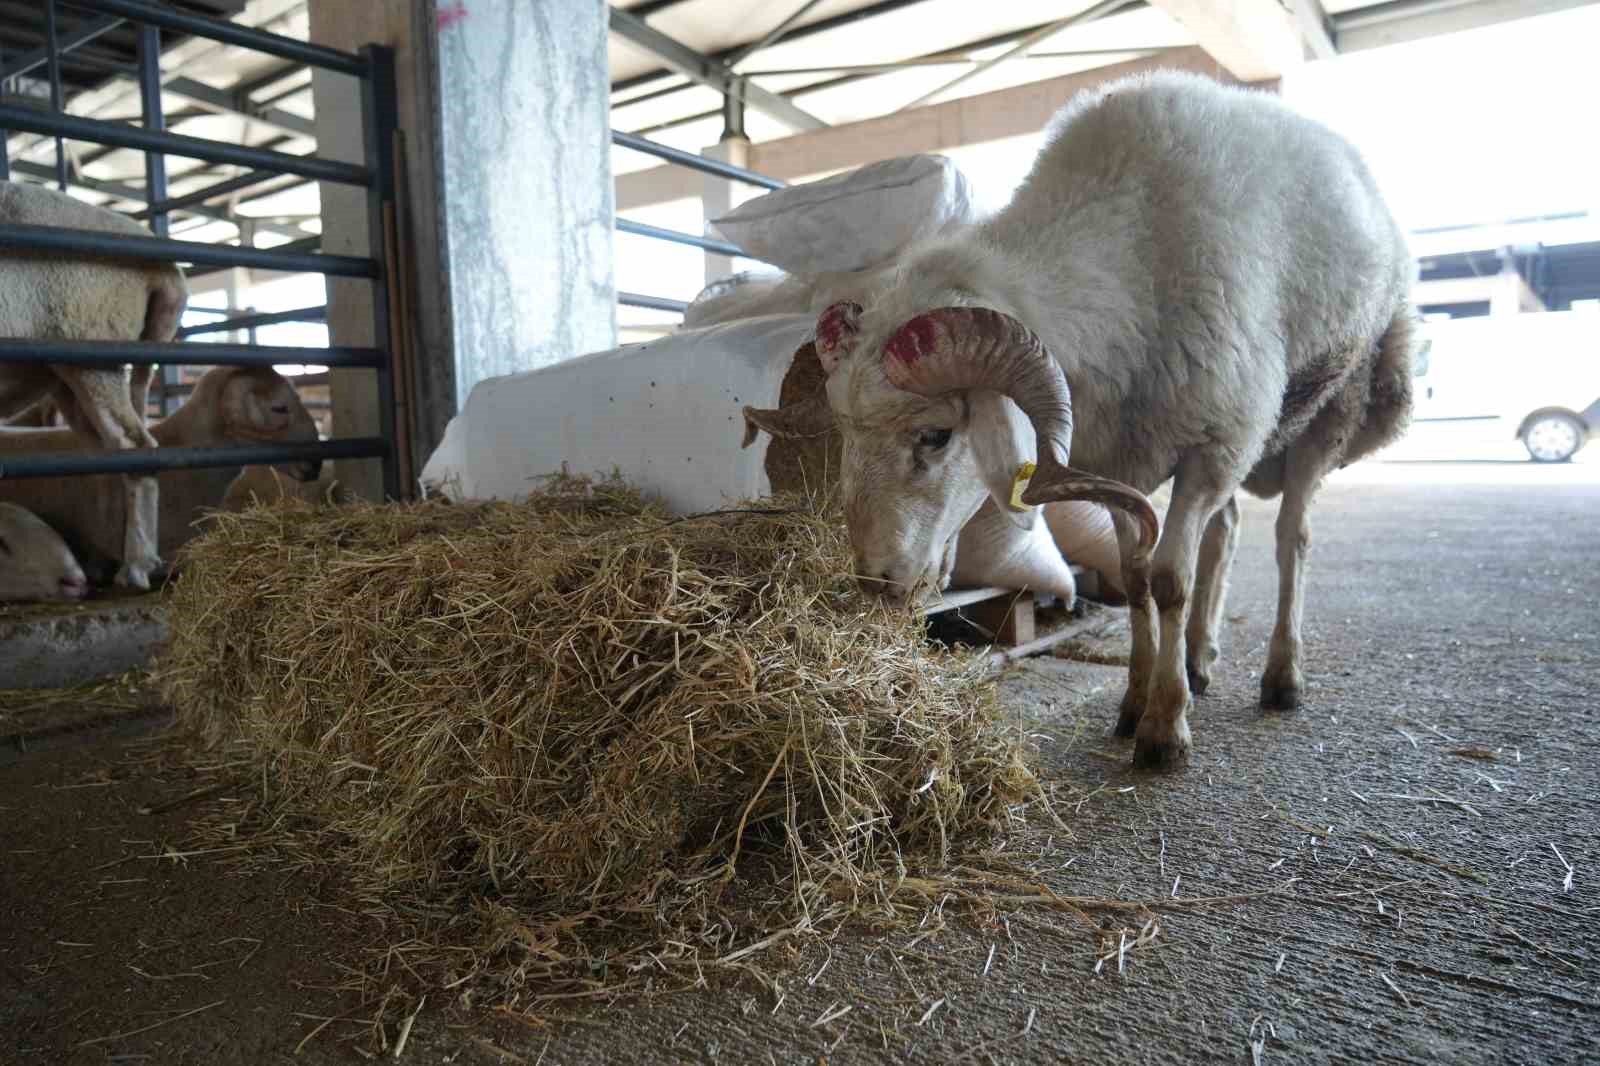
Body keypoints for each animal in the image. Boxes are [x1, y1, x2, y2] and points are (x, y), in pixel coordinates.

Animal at [0, 178, 190, 585]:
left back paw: (137, 564)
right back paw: (107, 557)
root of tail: (164, 268)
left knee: (135, 447)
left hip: (92, 344)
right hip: (69, 375)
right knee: (108, 458)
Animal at [745, 70, 1414, 768]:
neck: (1130, 244)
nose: (876, 583)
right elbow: (1136, 579)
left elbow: (1170, 579)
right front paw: (1135, 701)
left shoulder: (1214, 444)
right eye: (848, 437)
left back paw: (1282, 676)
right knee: (1226, 530)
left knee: (1292, 538)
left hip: (1330, 404)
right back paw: (1199, 658)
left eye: (936, 435)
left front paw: (1164, 729)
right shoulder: (1121, 461)